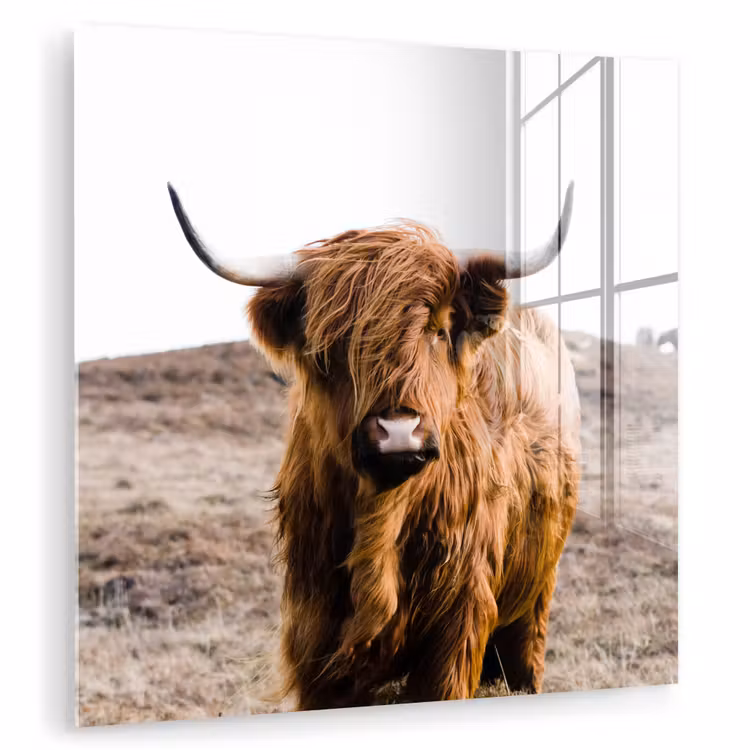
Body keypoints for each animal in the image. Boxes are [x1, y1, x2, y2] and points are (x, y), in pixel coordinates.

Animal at [167, 182, 581, 709]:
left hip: (536, 592)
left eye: (437, 331)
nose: (398, 430)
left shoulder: (457, 623)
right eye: (331, 346)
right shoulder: (314, 630)